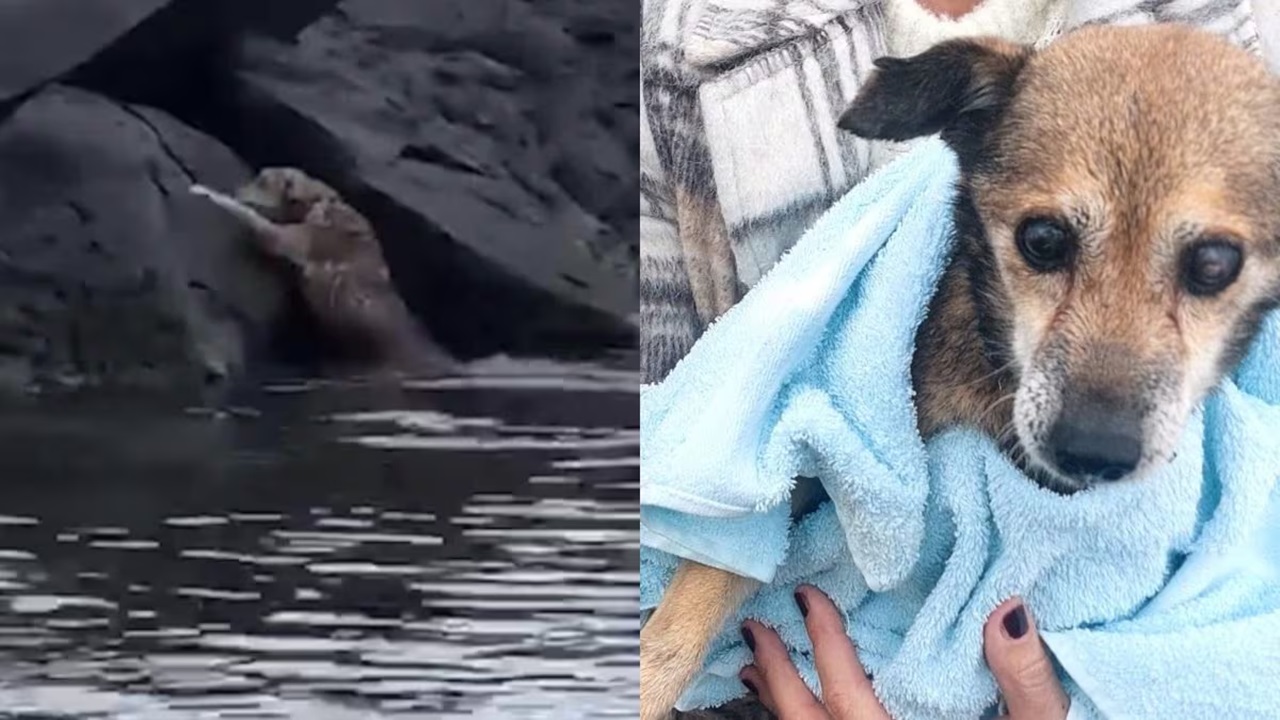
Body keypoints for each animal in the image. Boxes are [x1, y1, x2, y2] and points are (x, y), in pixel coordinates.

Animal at [186, 165, 453, 371]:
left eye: (262, 180)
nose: (238, 189)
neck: (316, 202)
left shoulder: (310, 235)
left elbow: (270, 234)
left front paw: (208, 192)